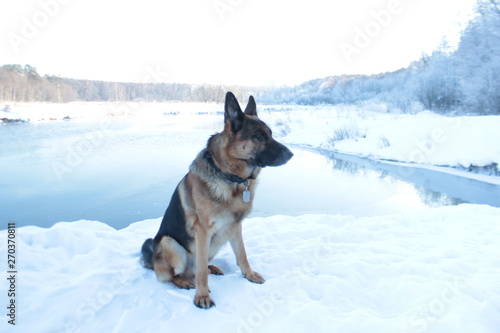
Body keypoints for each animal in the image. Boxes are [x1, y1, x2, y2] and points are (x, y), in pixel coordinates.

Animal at [140, 91, 292, 308]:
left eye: (270, 133)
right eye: (258, 136)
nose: (291, 154)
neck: (232, 178)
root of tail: (152, 261)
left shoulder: (235, 226)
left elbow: (242, 254)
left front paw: (249, 275)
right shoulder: (203, 230)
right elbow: (201, 272)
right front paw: (202, 296)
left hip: (215, 243)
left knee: (198, 267)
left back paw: (213, 268)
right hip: (170, 244)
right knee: (175, 275)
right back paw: (185, 281)